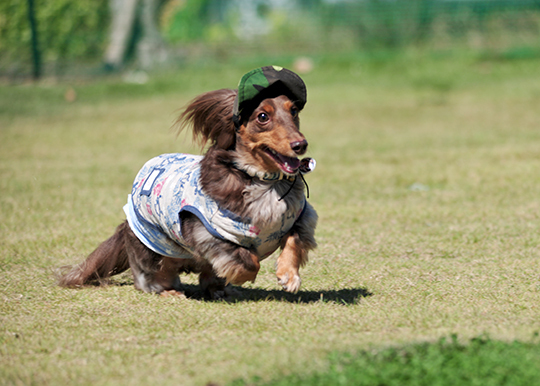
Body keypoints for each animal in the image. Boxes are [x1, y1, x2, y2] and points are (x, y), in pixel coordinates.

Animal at [60, 66, 316, 298]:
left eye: (294, 111)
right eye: (263, 117)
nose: (300, 145)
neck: (262, 180)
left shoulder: (300, 217)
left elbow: (294, 240)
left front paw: (289, 275)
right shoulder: (208, 232)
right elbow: (249, 260)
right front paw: (245, 275)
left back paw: (218, 289)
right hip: (153, 250)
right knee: (148, 278)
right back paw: (168, 291)